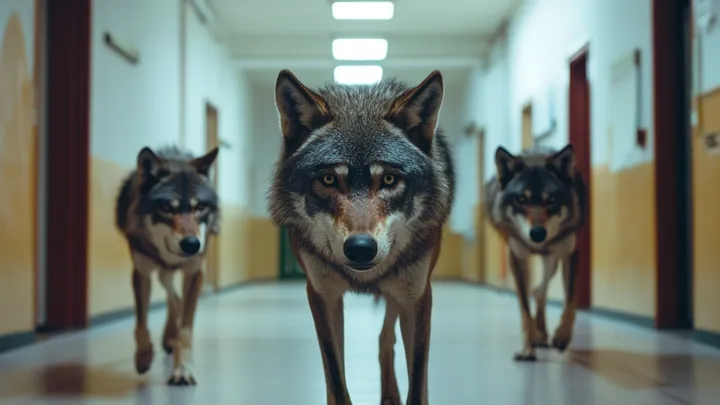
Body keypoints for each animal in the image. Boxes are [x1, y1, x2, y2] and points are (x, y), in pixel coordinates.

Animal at [115, 145, 220, 385]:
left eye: (200, 207)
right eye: (166, 207)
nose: (192, 244)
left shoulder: (194, 272)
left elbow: (186, 330)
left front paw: (183, 369)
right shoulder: (141, 272)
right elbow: (141, 323)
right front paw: (144, 356)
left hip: (172, 273)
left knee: (176, 299)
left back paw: (170, 337)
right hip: (161, 273)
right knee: (174, 298)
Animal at [268, 69, 455, 405]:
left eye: (390, 179)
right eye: (329, 179)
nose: (360, 248)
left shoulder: (417, 296)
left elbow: (418, 383)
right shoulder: (322, 295)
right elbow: (335, 379)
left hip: (400, 290)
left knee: (385, 339)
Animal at [485, 144, 587, 362]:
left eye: (552, 199)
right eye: (522, 199)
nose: (538, 233)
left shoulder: (570, 254)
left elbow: (570, 302)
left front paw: (562, 337)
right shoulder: (517, 258)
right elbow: (524, 311)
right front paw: (528, 349)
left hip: (552, 261)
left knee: (540, 291)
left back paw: (543, 332)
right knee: (536, 292)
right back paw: (539, 335)